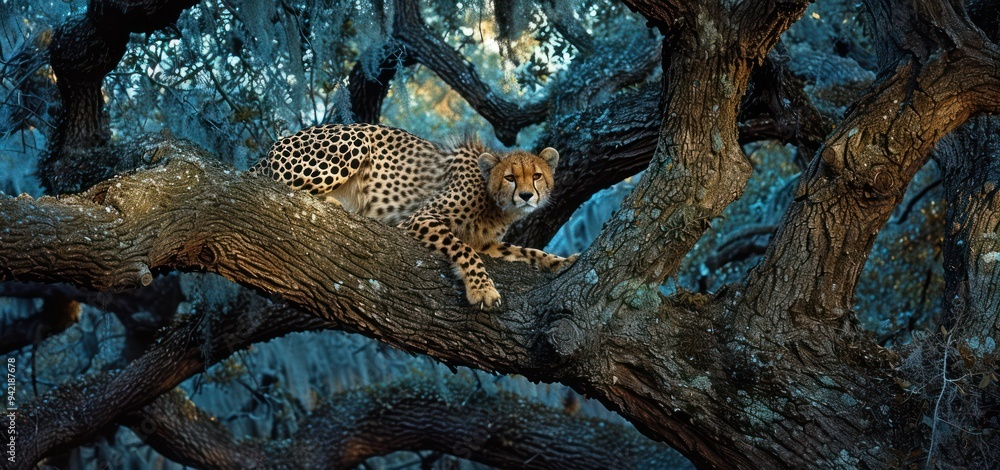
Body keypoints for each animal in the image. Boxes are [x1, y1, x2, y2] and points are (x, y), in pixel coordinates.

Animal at [246, 123, 577, 309]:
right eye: (510, 177)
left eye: (536, 176)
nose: (526, 196)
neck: (495, 203)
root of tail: (272, 147)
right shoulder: (419, 220)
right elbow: (465, 251)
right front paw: (482, 290)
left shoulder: (488, 244)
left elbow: (526, 251)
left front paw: (561, 262)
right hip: (355, 139)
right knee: (279, 185)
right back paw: (334, 203)